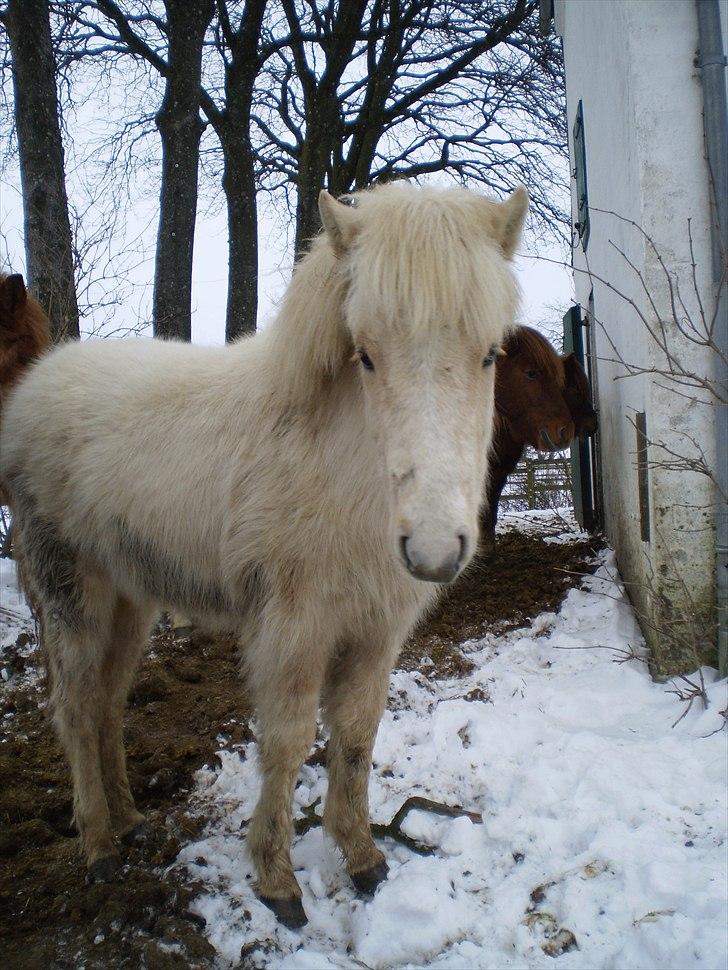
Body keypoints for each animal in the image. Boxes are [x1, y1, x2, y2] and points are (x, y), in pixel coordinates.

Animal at [0, 178, 528, 928]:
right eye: (366, 355)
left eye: (489, 355)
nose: (432, 549)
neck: (341, 469)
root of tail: (33, 392)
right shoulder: (293, 629)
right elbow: (286, 741)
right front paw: (277, 879)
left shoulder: (376, 631)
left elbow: (357, 736)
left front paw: (361, 856)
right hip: (72, 589)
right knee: (74, 707)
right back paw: (99, 845)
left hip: (132, 598)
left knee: (106, 701)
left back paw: (130, 820)